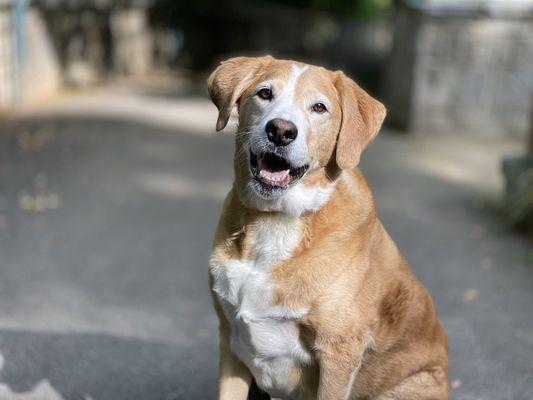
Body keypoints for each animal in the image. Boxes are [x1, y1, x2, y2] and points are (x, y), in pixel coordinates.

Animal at [206, 57, 446, 400]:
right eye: (265, 93)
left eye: (319, 107)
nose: (281, 130)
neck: (277, 220)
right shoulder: (231, 341)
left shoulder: (337, 354)